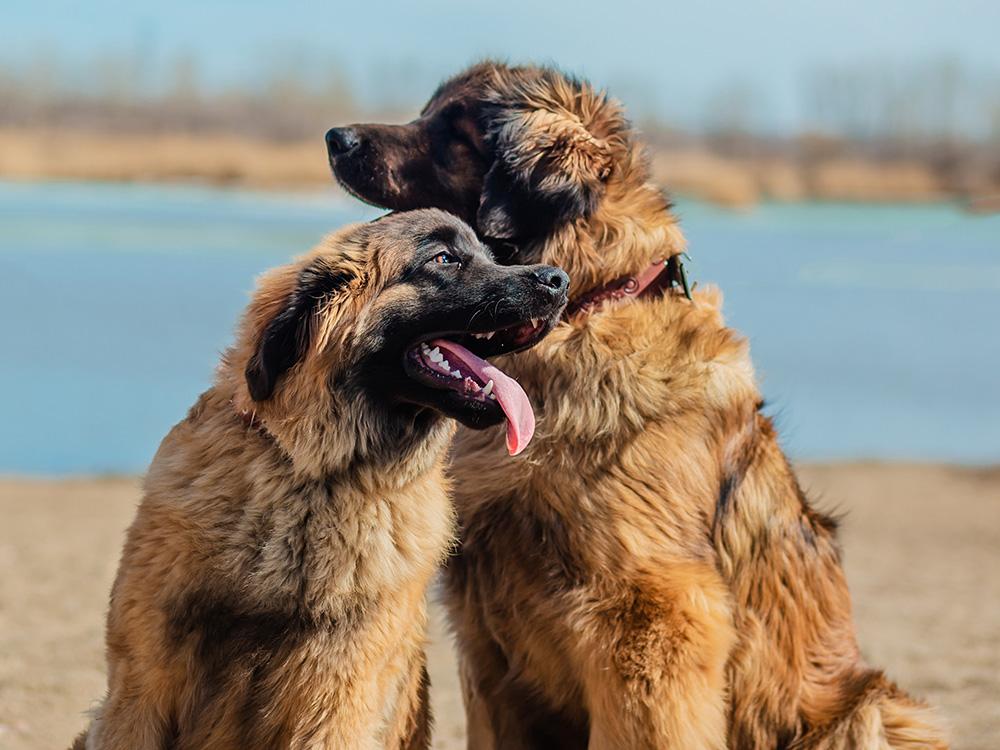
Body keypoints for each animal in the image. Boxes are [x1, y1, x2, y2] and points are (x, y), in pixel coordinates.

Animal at [70, 210, 572, 750]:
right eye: (443, 259)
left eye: (491, 255)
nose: (558, 279)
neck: (318, 480)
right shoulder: (141, 686)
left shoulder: (337, 697)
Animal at [328, 61, 944, 748]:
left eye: (452, 132)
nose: (335, 137)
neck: (581, 315)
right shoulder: (487, 639)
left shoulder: (650, 616)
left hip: (873, 711)